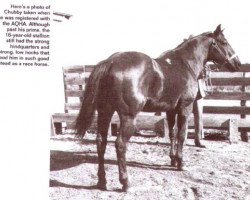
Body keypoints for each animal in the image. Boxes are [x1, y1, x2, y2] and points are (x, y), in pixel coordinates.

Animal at [75, 25, 241, 192]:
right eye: (224, 42)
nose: (238, 64)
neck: (185, 64)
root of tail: (110, 62)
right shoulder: (185, 108)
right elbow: (182, 135)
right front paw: (181, 163)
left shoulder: (170, 110)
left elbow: (172, 134)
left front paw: (173, 160)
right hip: (128, 117)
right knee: (120, 144)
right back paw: (125, 182)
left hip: (105, 112)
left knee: (100, 142)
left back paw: (102, 181)